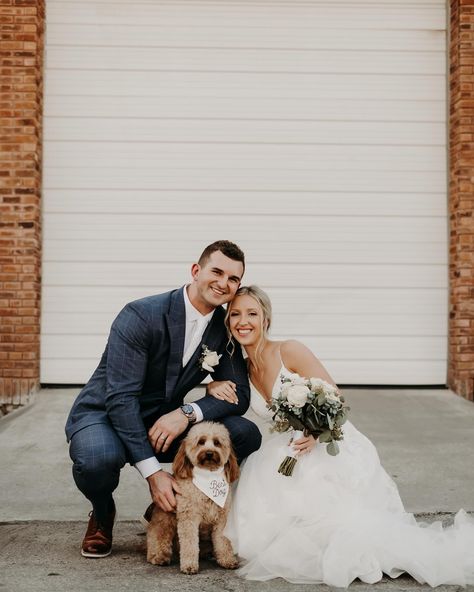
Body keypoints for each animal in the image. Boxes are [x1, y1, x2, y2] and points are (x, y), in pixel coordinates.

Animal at [145, 420, 241, 572]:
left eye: (217, 442)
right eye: (201, 442)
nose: (209, 453)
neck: (208, 477)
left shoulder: (222, 519)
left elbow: (223, 541)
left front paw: (227, 560)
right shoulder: (189, 518)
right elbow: (189, 544)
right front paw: (189, 565)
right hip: (164, 521)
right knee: (158, 537)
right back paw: (158, 556)